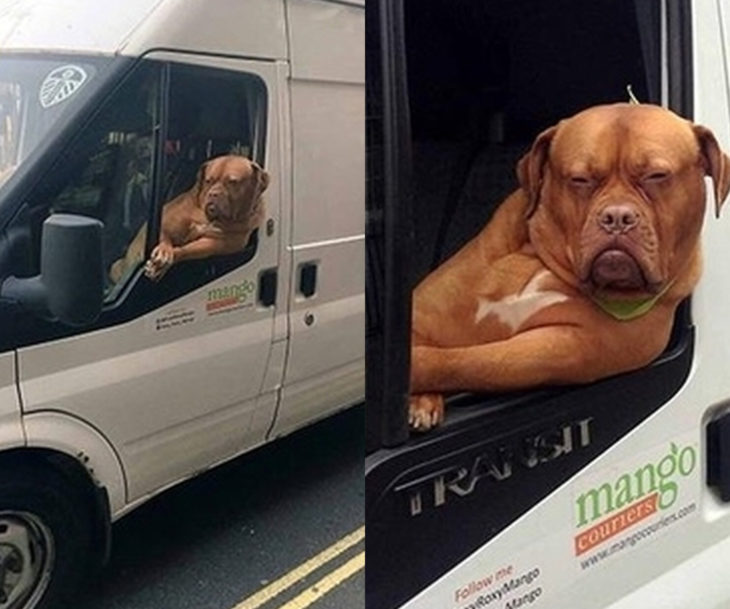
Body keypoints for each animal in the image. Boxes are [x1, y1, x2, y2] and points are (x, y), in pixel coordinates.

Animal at [112, 154, 272, 282]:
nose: (213, 194)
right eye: (208, 181)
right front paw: (164, 252)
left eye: (233, 182)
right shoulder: (164, 222)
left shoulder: (215, 243)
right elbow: (165, 239)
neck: (207, 218)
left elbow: (188, 250)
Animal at [410, 103, 728, 428]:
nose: (617, 217)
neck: (544, 264)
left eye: (656, 176)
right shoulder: (426, 310)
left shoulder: (567, 347)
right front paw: (420, 396)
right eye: (580, 179)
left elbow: (471, 361)